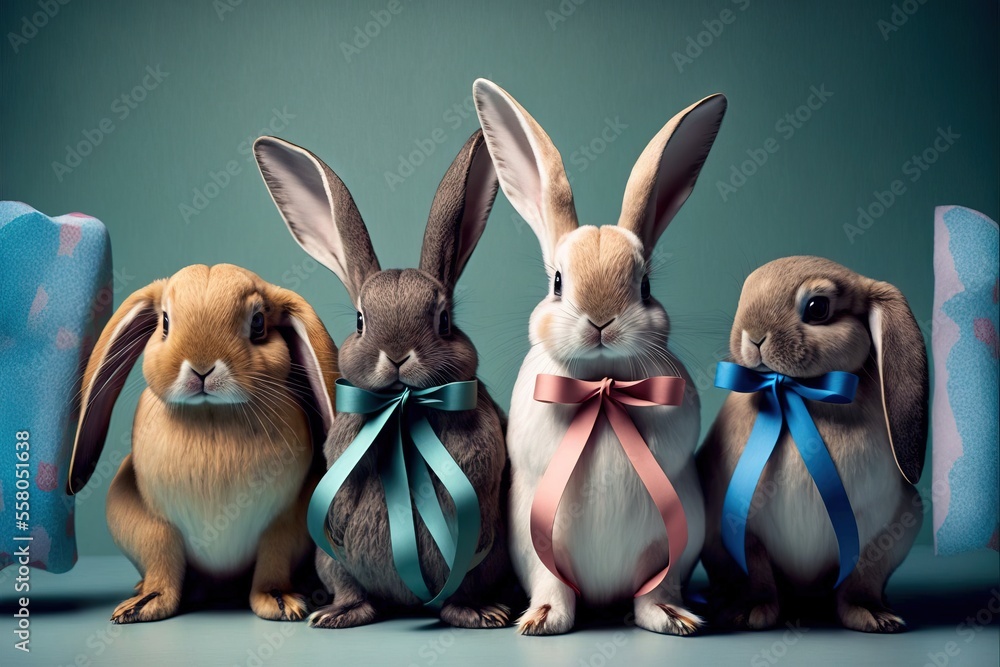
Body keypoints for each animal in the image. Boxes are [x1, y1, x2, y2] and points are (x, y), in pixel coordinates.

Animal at [66, 263, 337, 623]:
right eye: (165, 322)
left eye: (258, 323)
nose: (202, 368)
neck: (211, 414)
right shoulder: (156, 526)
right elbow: (162, 557)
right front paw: (145, 604)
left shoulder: (283, 523)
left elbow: (273, 560)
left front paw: (280, 602)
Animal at [253, 129, 511, 629]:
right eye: (360, 321)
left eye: (444, 321)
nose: (395, 355)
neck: (404, 407)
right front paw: (335, 526)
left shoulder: (484, 456)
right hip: (333, 565)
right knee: (354, 590)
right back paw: (339, 613)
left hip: (474, 571)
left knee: (460, 592)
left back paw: (478, 613)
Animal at [472, 78, 728, 635]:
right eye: (557, 283)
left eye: (645, 286)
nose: (601, 320)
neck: (603, 380)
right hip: (538, 551)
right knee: (558, 590)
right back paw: (543, 619)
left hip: (667, 552)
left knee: (651, 593)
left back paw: (672, 618)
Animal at [697, 256, 929, 633]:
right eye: (745, 291)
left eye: (817, 307)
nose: (753, 335)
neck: (799, 392)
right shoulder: (742, 534)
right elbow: (757, 576)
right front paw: (747, 613)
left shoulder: (878, 535)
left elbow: (860, 581)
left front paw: (872, 616)